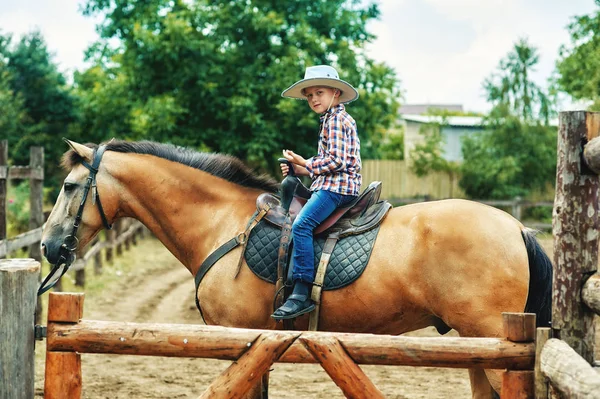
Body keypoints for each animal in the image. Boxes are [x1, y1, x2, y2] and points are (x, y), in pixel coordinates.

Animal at [42, 139, 552, 398]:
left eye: (68, 186)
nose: (47, 245)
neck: (222, 222)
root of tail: (516, 227)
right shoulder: (257, 345)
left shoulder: (240, 341)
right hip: (477, 348)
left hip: (492, 339)